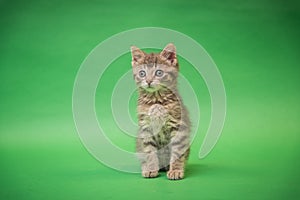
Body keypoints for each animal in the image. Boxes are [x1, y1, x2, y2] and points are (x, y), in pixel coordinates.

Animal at [131, 43, 190, 180]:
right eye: (142, 73)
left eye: (159, 72)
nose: (148, 81)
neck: (156, 100)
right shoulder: (146, 127)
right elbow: (149, 151)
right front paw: (151, 169)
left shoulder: (178, 125)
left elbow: (177, 151)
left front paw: (176, 170)